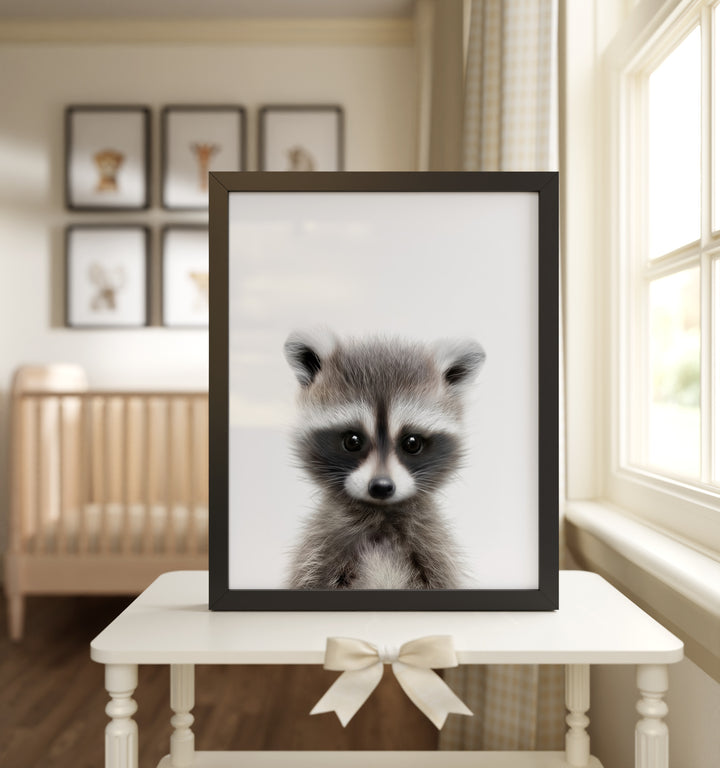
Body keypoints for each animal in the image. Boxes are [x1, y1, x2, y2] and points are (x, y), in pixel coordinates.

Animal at [283, 330, 486, 590]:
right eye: (352, 441)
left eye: (412, 443)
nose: (381, 487)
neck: (381, 516)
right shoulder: (322, 546)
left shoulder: (433, 546)